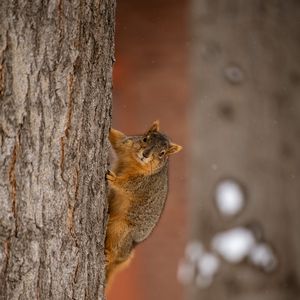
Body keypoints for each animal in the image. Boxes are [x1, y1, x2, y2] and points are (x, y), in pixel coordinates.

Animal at [104, 120, 182, 288]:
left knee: (117, 251)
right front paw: (108, 129)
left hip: (121, 231)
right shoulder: (125, 145)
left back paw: (109, 254)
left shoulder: (143, 184)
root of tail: (130, 250)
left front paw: (114, 179)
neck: (135, 162)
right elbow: (117, 138)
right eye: (145, 138)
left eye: (162, 153)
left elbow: (128, 186)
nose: (145, 154)